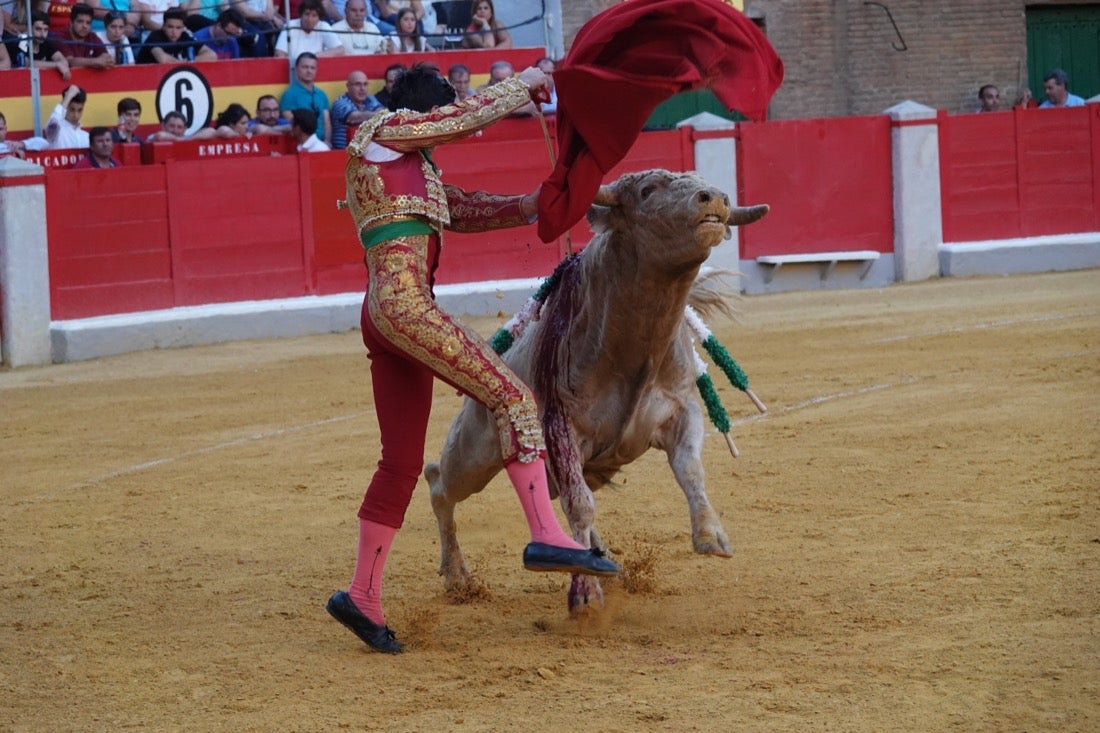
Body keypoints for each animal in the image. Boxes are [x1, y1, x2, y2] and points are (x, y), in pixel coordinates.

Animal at [424, 168, 770, 607]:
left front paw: (712, 536)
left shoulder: (681, 409)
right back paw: (457, 576)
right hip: (474, 453)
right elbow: (581, 505)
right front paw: (585, 594)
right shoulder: (562, 426)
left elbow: (691, 470)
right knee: (440, 482)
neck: (636, 344)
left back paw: (597, 555)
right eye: (646, 191)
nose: (715, 199)